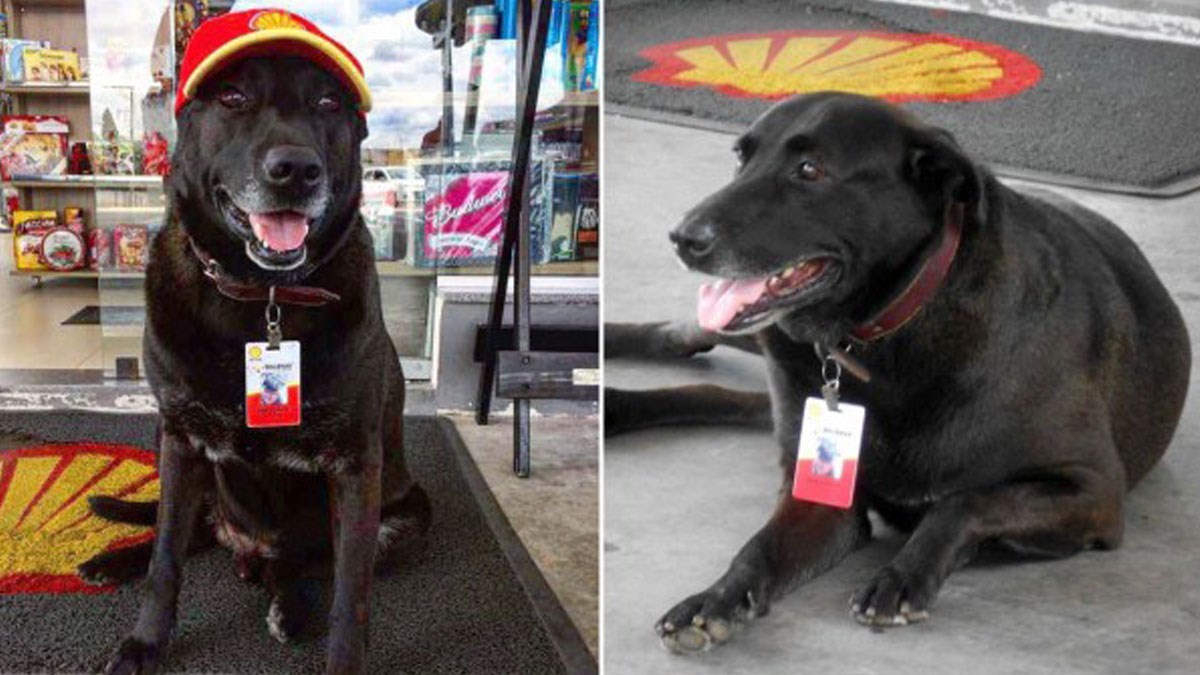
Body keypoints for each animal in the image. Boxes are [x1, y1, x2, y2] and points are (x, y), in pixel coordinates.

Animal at [609, 91, 1190, 648]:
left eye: (809, 170)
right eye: (740, 158)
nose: (682, 238)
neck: (879, 337)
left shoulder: (1094, 490)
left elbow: (962, 501)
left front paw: (902, 575)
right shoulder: (818, 498)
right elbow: (758, 549)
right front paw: (714, 598)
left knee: (724, 390)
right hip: (766, 342)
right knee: (698, 341)